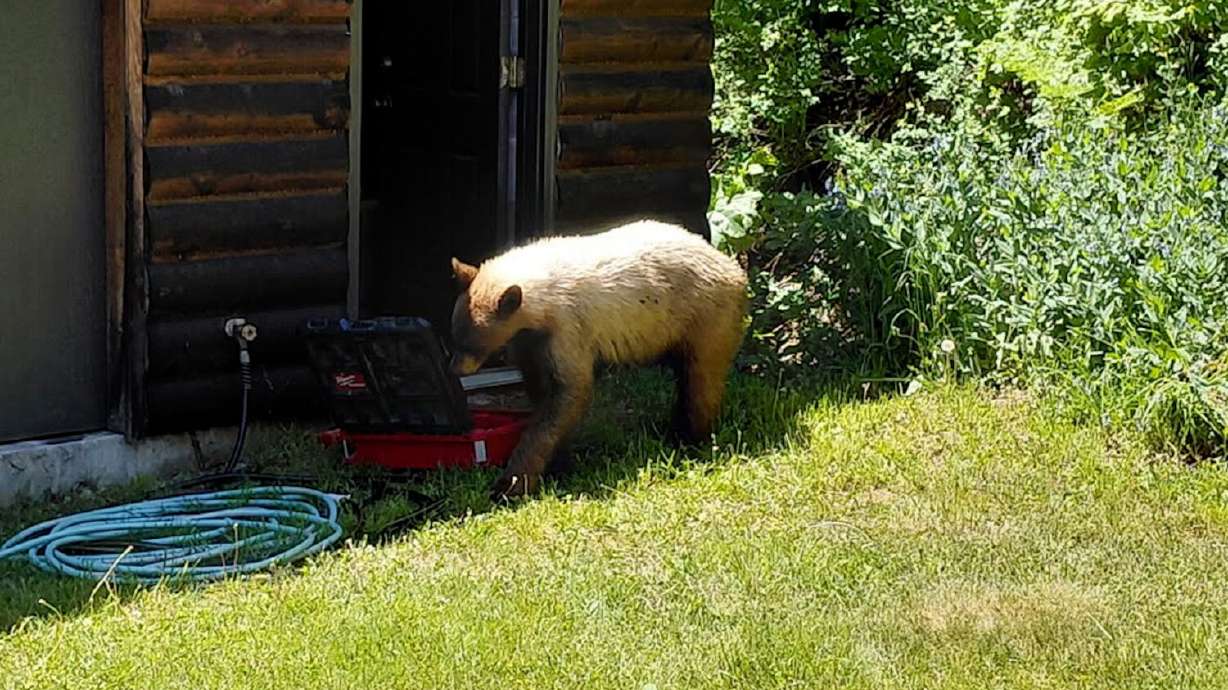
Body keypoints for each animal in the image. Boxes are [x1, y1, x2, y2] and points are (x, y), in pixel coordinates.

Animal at [448, 219, 749, 501]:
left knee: (702, 380)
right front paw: (559, 463)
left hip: (706, 317)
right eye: (454, 334)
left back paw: (691, 438)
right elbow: (542, 391)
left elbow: (570, 392)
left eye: (470, 343)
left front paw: (511, 483)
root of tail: (734, 267)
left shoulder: (568, 329)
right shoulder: (529, 342)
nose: (454, 369)